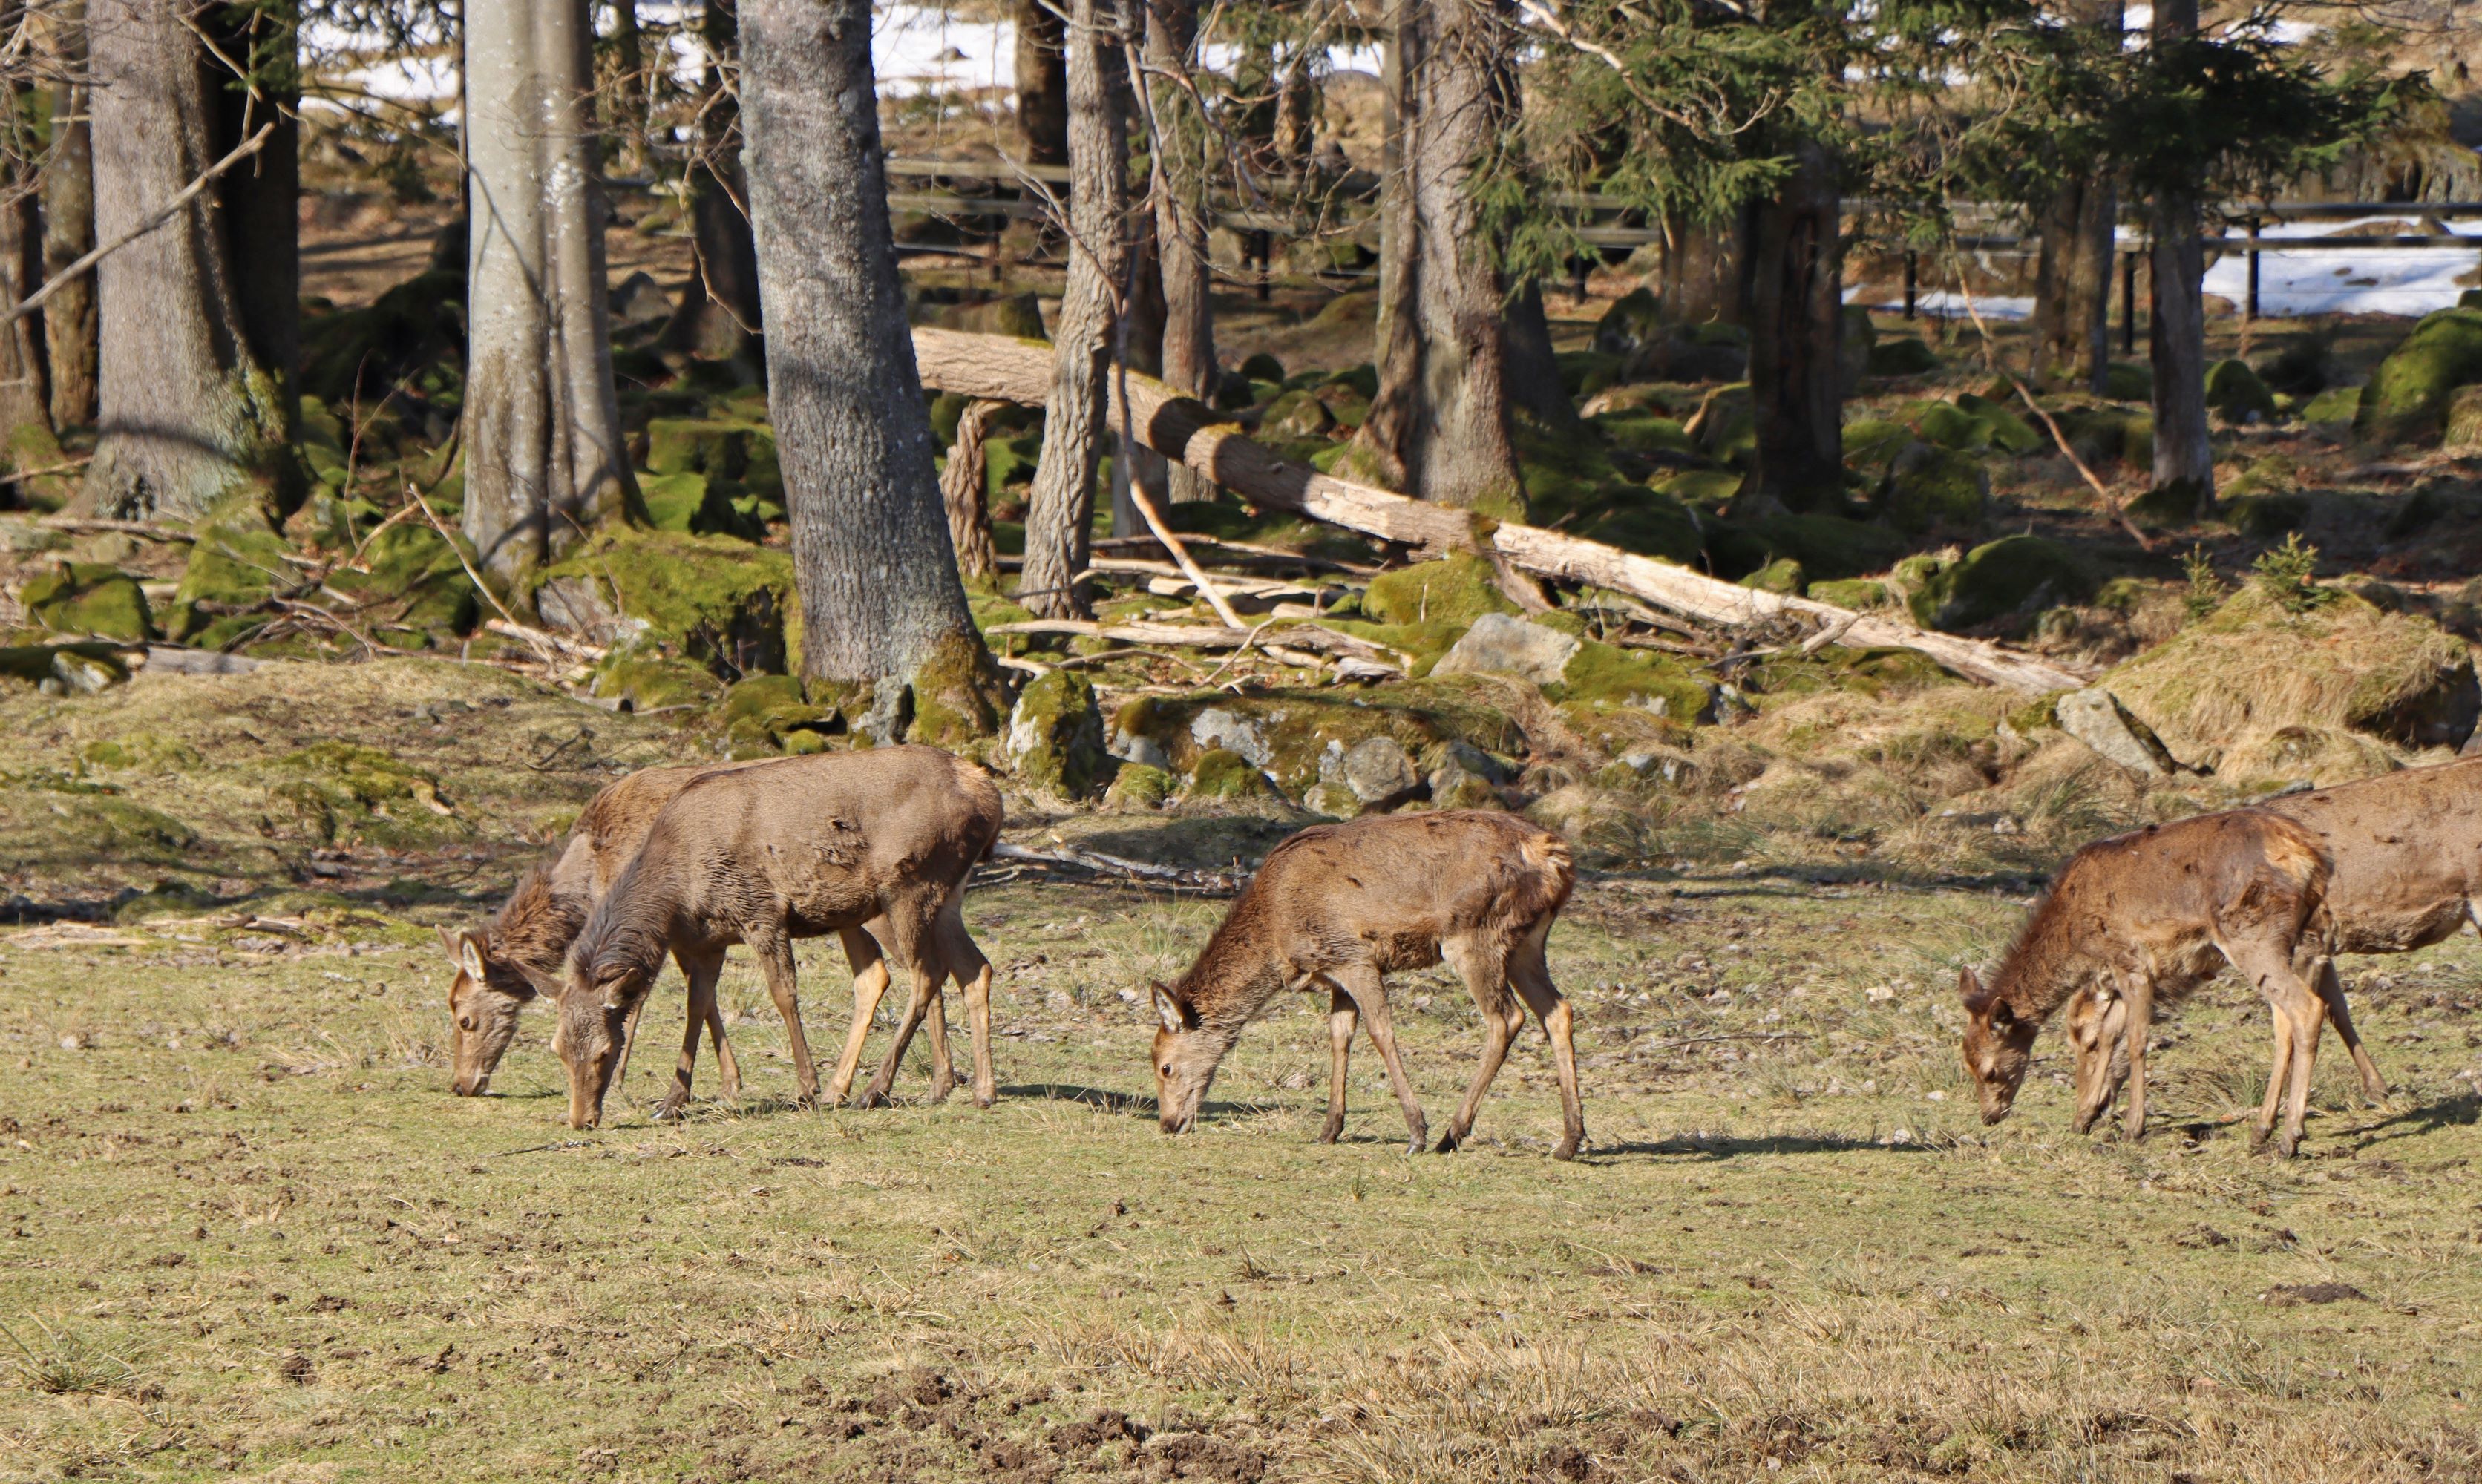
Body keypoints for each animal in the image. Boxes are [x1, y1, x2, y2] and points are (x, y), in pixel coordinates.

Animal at [451, 764, 972, 1121]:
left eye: (464, 1018)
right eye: (555, 1050)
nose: (460, 1085)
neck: (584, 878)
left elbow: (644, 1004)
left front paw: (625, 1084)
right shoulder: (692, 936)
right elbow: (702, 1001)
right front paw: (726, 1084)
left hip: (888, 904)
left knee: (924, 971)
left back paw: (911, 1084)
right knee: (910, 971)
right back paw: (934, 1083)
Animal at [1136, 813, 1578, 1161]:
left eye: (1165, 1066)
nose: (1168, 1123)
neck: (1276, 936)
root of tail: (1555, 856)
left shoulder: (1355, 956)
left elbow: (1381, 1031)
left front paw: (1416, 1133)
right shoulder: (1333, 969)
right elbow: (1339, 1035)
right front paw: (1329, 1129)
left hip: (1474, 933)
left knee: (1506, 1018)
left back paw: (1451, 1134)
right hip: (1526, 942)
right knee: (1558, 1010)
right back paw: (1569, 1141)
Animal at [2054, 754, 2482, 1151]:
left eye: (2088, 1040)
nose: (2084, 1113)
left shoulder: (2308, 939)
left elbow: (2297, 1022)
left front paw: (2272, 1126)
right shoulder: (2321, 943)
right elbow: (2337, 1009)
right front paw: (2378, 1088)